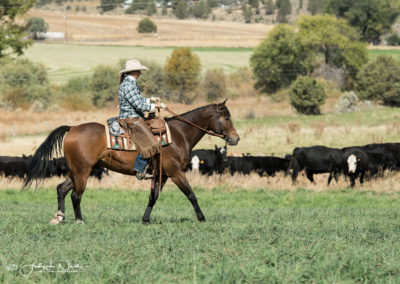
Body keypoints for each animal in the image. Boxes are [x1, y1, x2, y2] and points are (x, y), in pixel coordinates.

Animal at [23, 101, 239, 224]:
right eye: (226, 117)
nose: (236, 138)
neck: (178, 135)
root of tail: (73, 128)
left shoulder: (162, 175)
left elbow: (153, 197)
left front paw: (145, 219)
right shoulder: (175, 172)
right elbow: (191, 195)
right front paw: (202, 218)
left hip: (78, 172)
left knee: (61, 189)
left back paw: (59, 217)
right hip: (82, 172)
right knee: (76, 195)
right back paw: (79, 221)